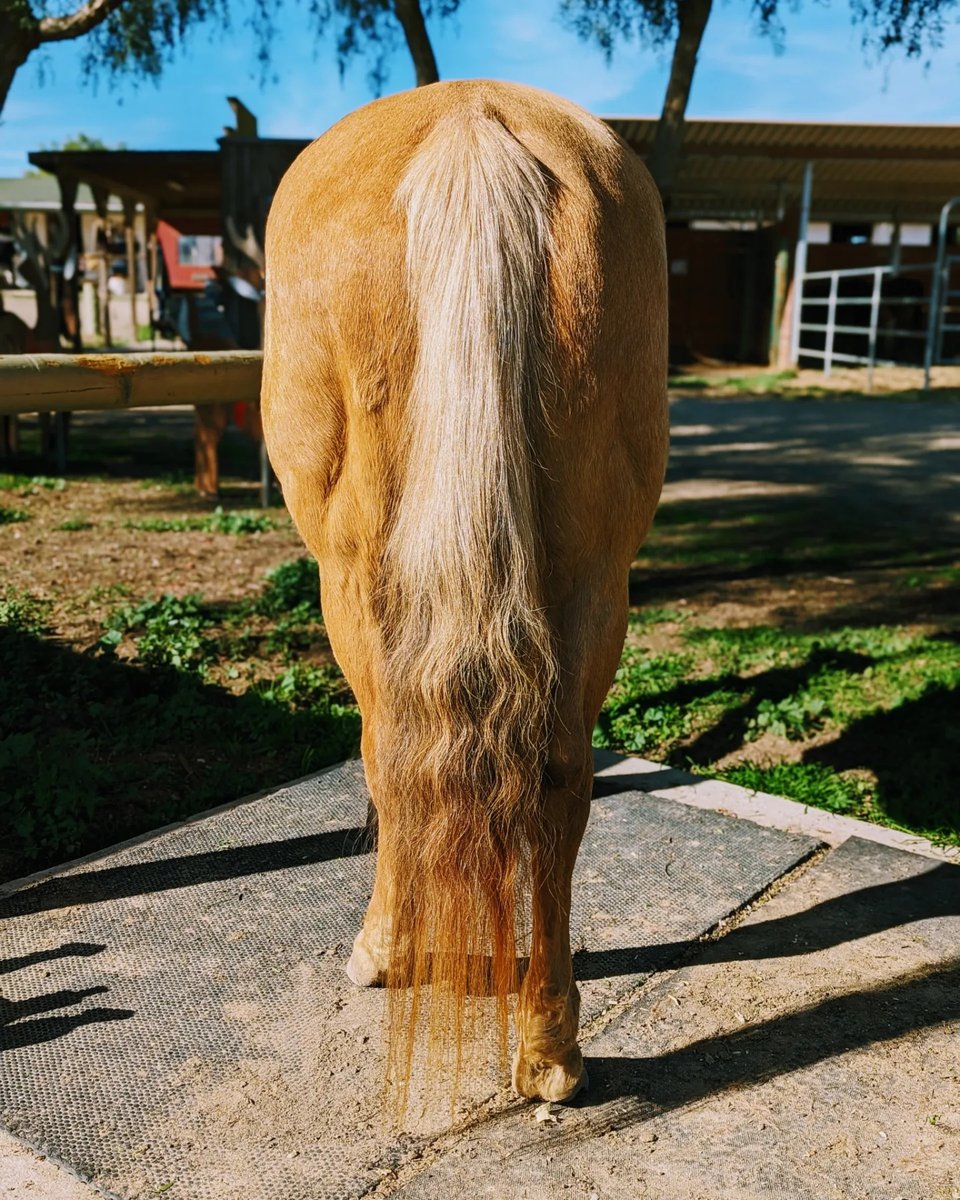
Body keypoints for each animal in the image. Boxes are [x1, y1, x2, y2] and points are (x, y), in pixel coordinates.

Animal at [261, 79, 668, 1107]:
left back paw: (385, 951)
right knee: (561, 778)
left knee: (395, 757)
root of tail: (473, 124)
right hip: (596, 576)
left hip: (356, 580)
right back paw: (552, 1049)